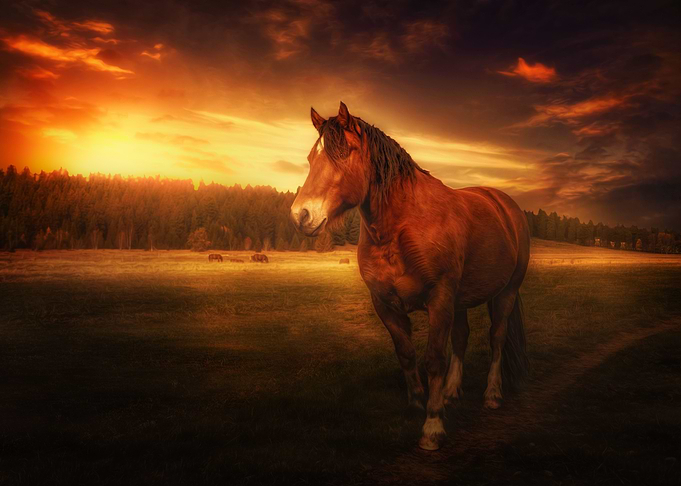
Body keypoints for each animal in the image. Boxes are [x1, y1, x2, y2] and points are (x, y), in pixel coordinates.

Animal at [290, 102, 530, 451]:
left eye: (343, 153)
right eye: (311, 158)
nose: (301, 216)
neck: (402, 227)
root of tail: (505, 204)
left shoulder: (439, 300)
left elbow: (434, 359)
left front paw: (433, 426)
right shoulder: (385, 303)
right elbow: (406, 354)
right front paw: (418, 402)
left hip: (505, 293)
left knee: (496, 339)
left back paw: (493, 395)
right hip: (460, 301)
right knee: (461, 338)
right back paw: (452, 392)